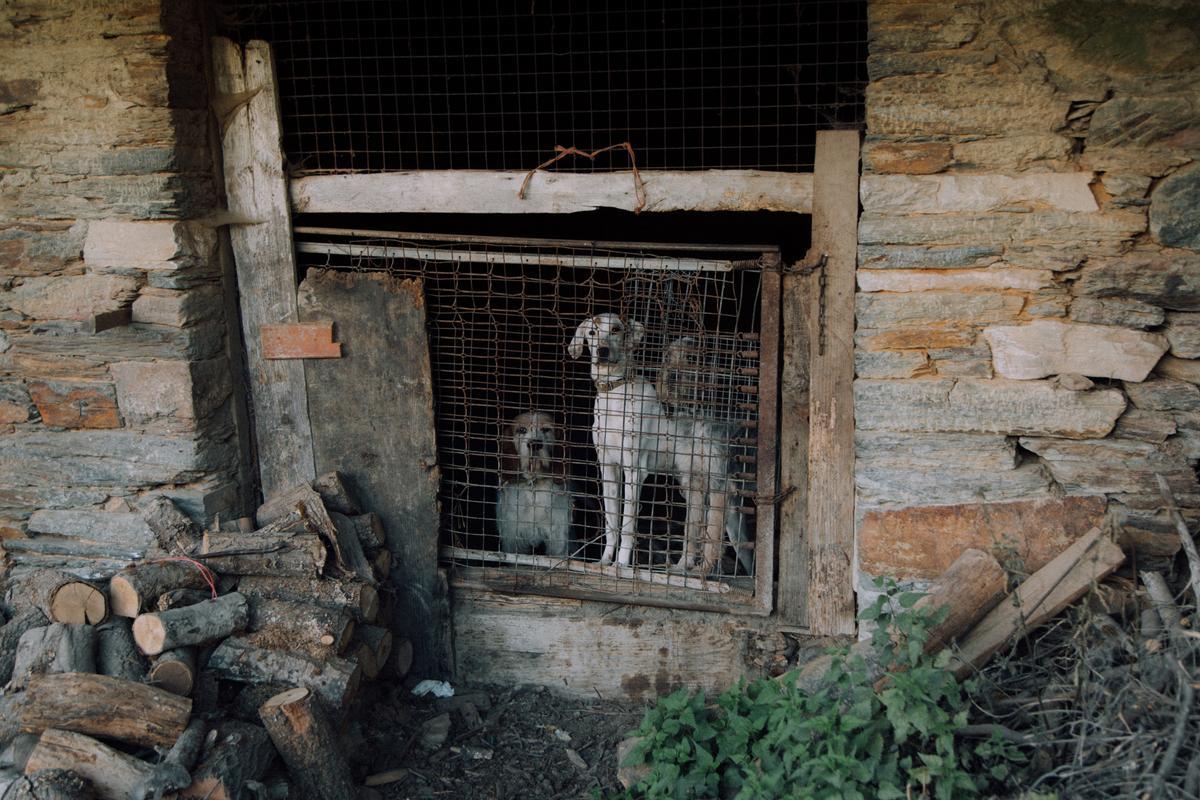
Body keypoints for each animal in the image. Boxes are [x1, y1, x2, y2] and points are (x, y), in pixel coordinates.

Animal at [496, 412, 571, 556]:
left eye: (546, 429)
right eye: (522, 430)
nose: (535, 444)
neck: (534, 486)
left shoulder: (558, 539)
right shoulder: (513, 539)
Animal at [566, 316, 724, 573]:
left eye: (616, 329)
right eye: (591, 332)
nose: (602, 351)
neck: (616, 393)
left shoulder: (634, 471)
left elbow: (628, 526)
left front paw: (621, 565)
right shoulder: (608, 470)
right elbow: (612, 524)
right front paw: (605, 561)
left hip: (713, 480)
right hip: (692, 484)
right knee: (695, 530)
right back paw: (682, 566)